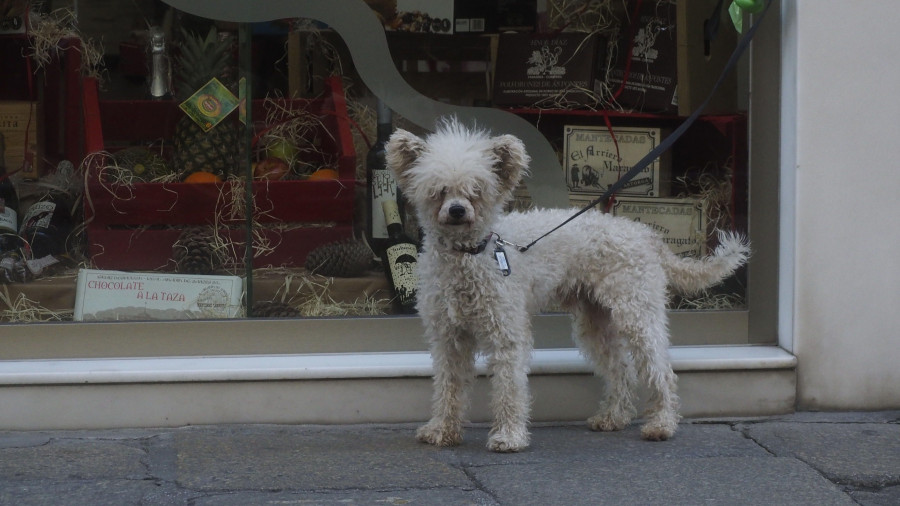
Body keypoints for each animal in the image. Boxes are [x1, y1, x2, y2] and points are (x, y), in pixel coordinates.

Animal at [386, 119, 752, 454]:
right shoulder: (448, 338)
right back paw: (613, 418)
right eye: (438, 191)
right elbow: (447, 387)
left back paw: (661, 424)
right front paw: (442, 430)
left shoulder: (507, 334)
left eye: (476, 189)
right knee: (622, 369)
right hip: (596, 321)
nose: (458, 210)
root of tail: (645, 235)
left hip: (637, 313)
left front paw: (509, 436)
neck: (470, 255)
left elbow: (509, 387)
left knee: (660, 370)